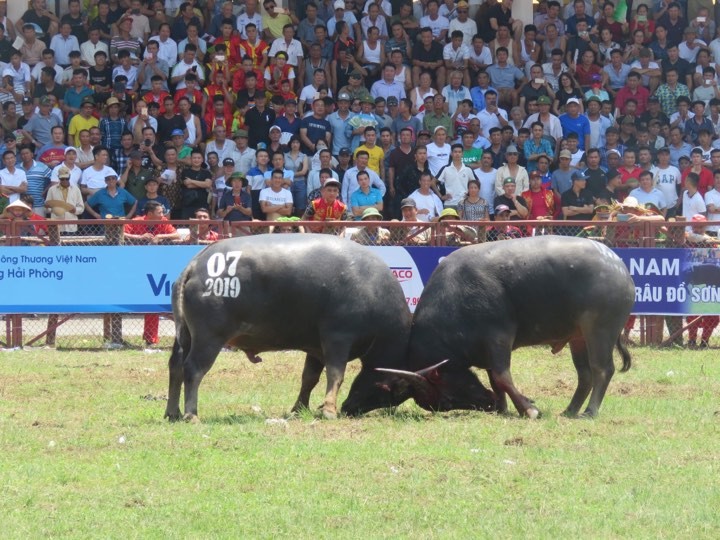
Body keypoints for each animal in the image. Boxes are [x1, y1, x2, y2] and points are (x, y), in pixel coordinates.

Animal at [344, 235, 636, 418]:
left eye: (445, 401)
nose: (487, 405)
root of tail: (619, 266)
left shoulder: (498, 338)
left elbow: (502, 375)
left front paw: (529, 409)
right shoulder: (485, 350)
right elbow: (495, 381)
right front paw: (505, 407)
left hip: (600, 330)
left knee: (602, 369)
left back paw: (589, 412)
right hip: (578, 337)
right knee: (584, 374)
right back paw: (569, 410)